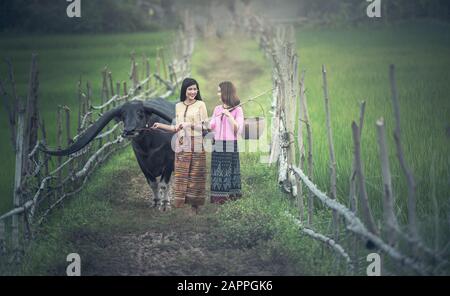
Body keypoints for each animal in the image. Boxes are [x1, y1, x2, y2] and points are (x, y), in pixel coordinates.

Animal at [41, 97, 176, 210]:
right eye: (123, 116)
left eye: (140, 114)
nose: (129, 131)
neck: (150, 144)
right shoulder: (141, 162)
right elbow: (153, 183)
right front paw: (156, 202)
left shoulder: (169, 162)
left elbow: (164, 184)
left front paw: (165, 204)